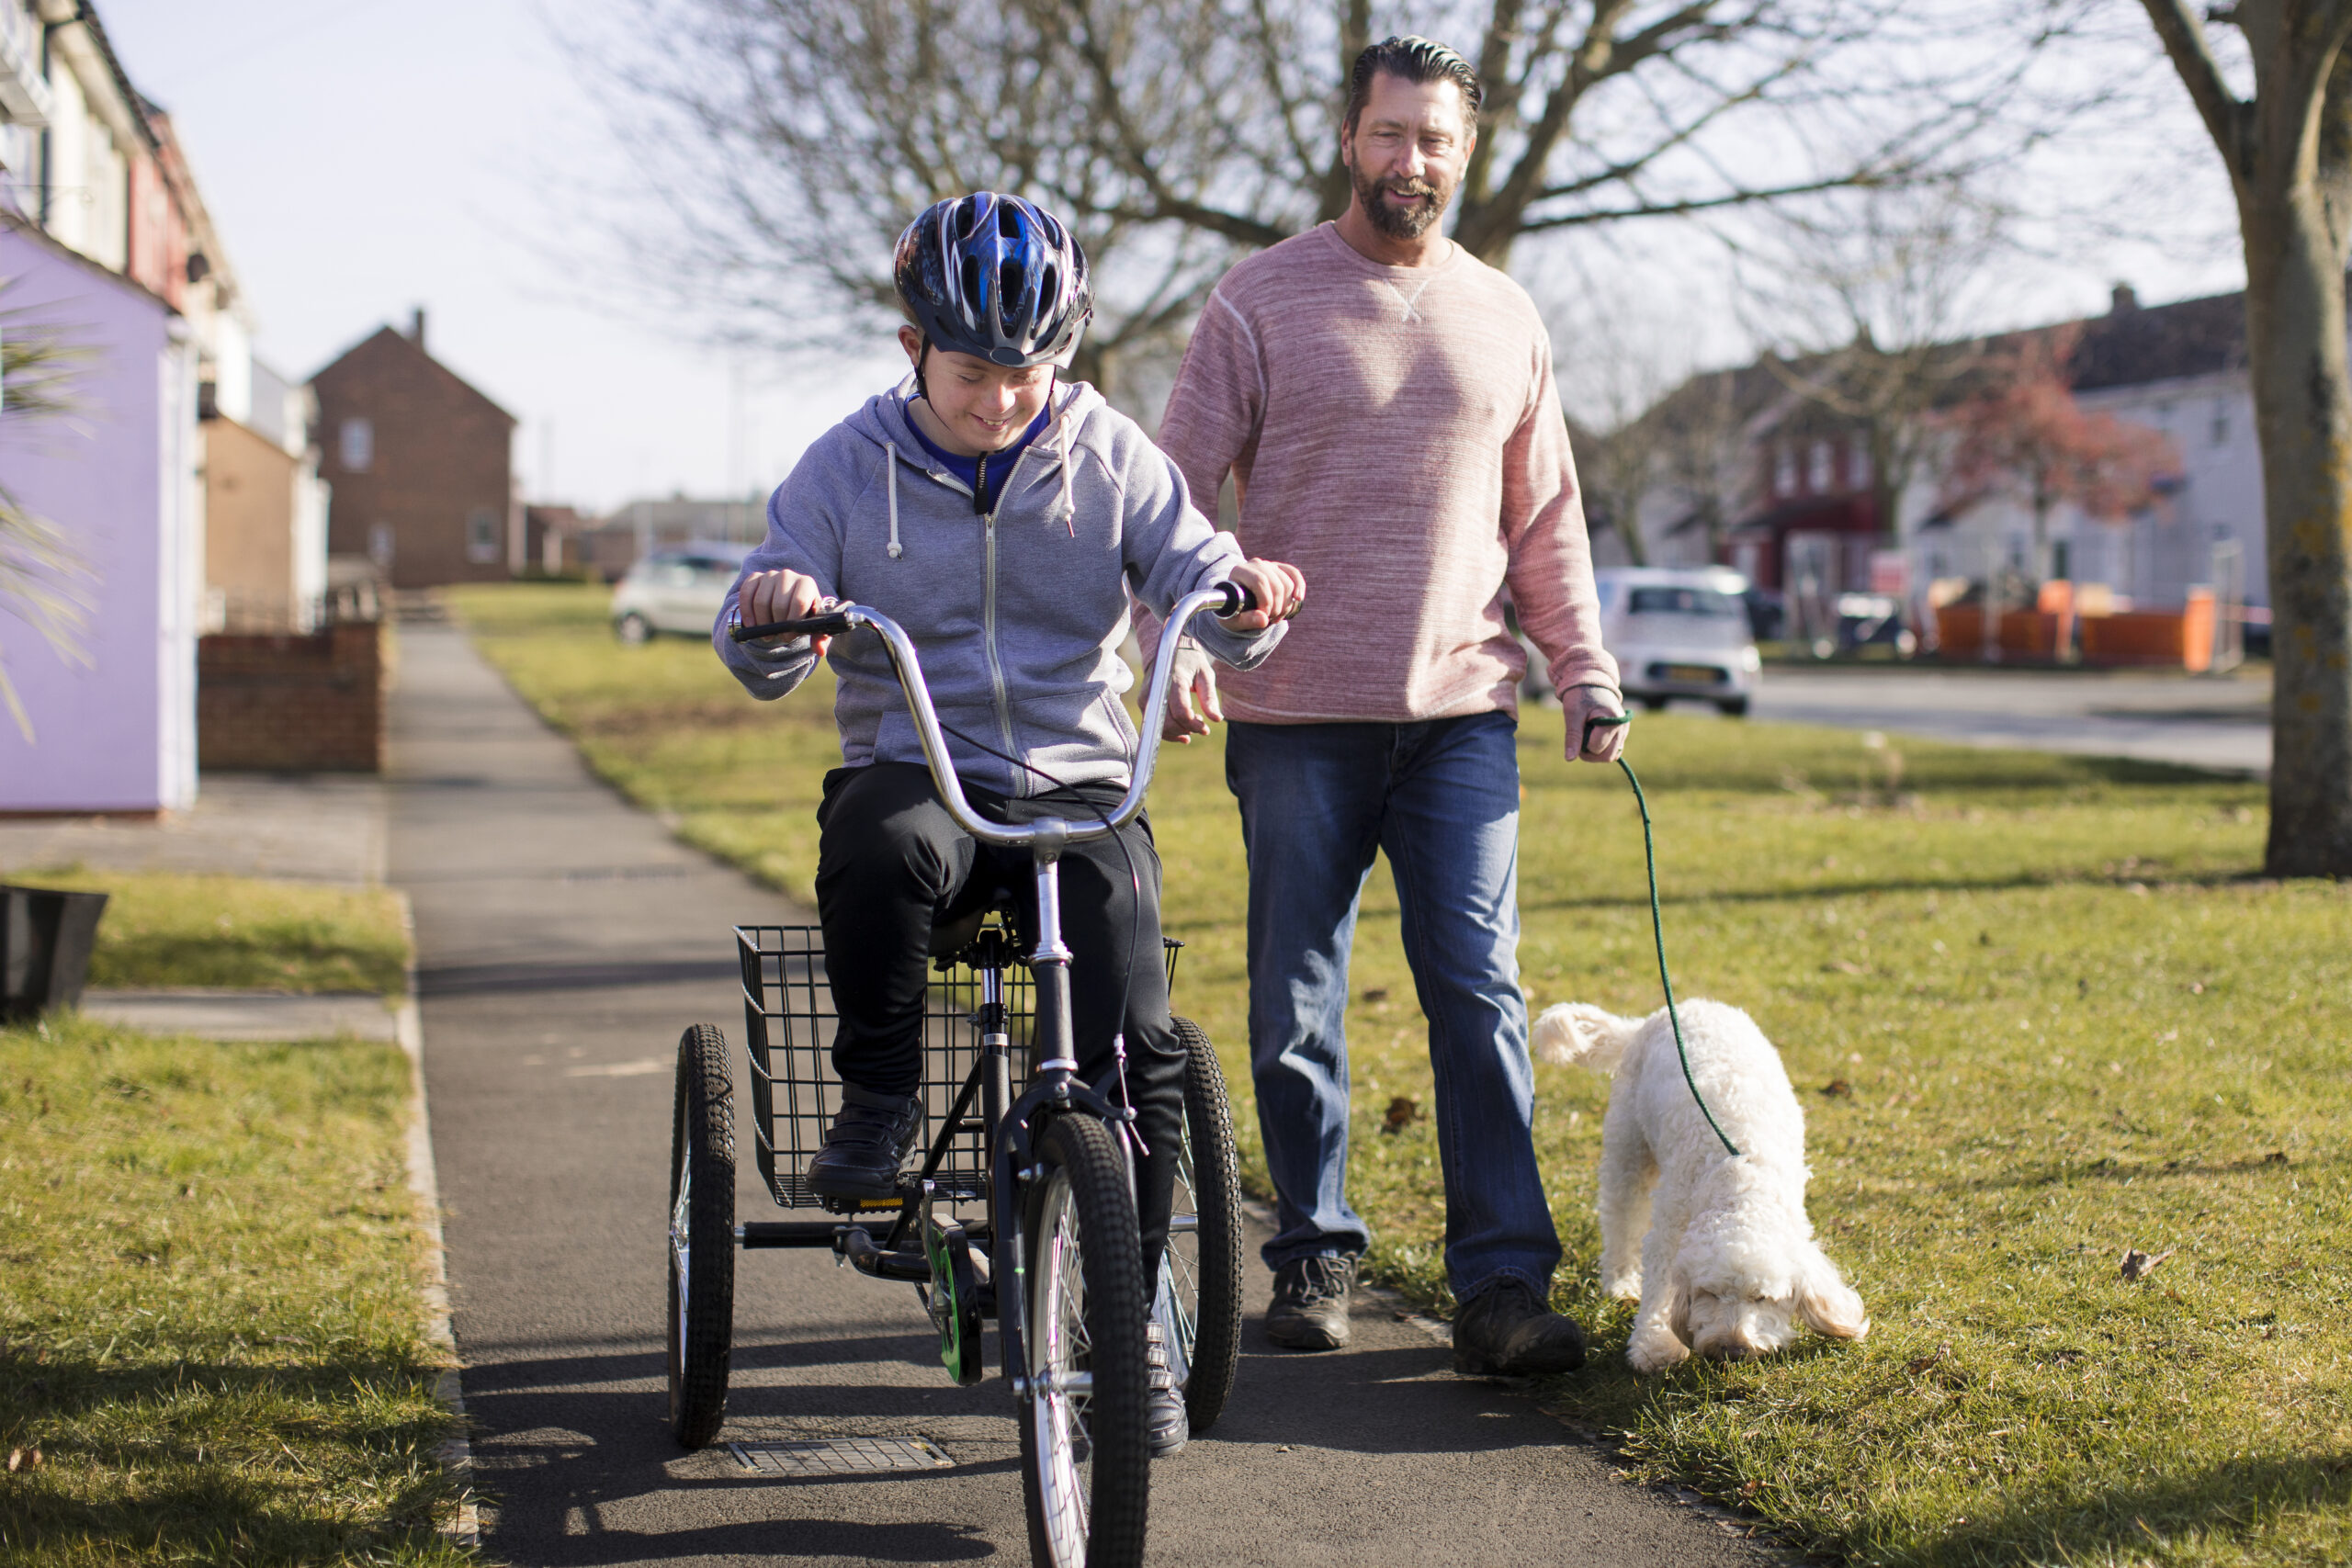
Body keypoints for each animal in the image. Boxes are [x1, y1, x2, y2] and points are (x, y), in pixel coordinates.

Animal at [1523, 1006, 1871, 1372]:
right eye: (1710, 1294)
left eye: (1762, 1298)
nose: (1733, 1350)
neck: (1741, 1182)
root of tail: (1666, 1012)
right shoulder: (1668, 1231)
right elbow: (1660, 1286)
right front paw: (1656, 1345)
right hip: (1627, 1147)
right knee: (1621, 1219)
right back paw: (1620, 1281)